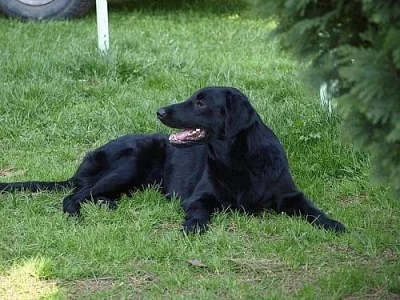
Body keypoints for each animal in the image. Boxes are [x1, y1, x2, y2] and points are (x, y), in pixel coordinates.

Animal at [0, 86, 346, 232]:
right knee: (73, 195)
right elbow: (199, 212)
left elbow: (312, 210)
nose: (159, 111)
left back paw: (107, 204)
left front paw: (333, 223)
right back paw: (78, 214)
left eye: (202, 102)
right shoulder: (199, 197)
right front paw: (193, 227)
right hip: (131, 162)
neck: (238, 159)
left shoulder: (290, 195)